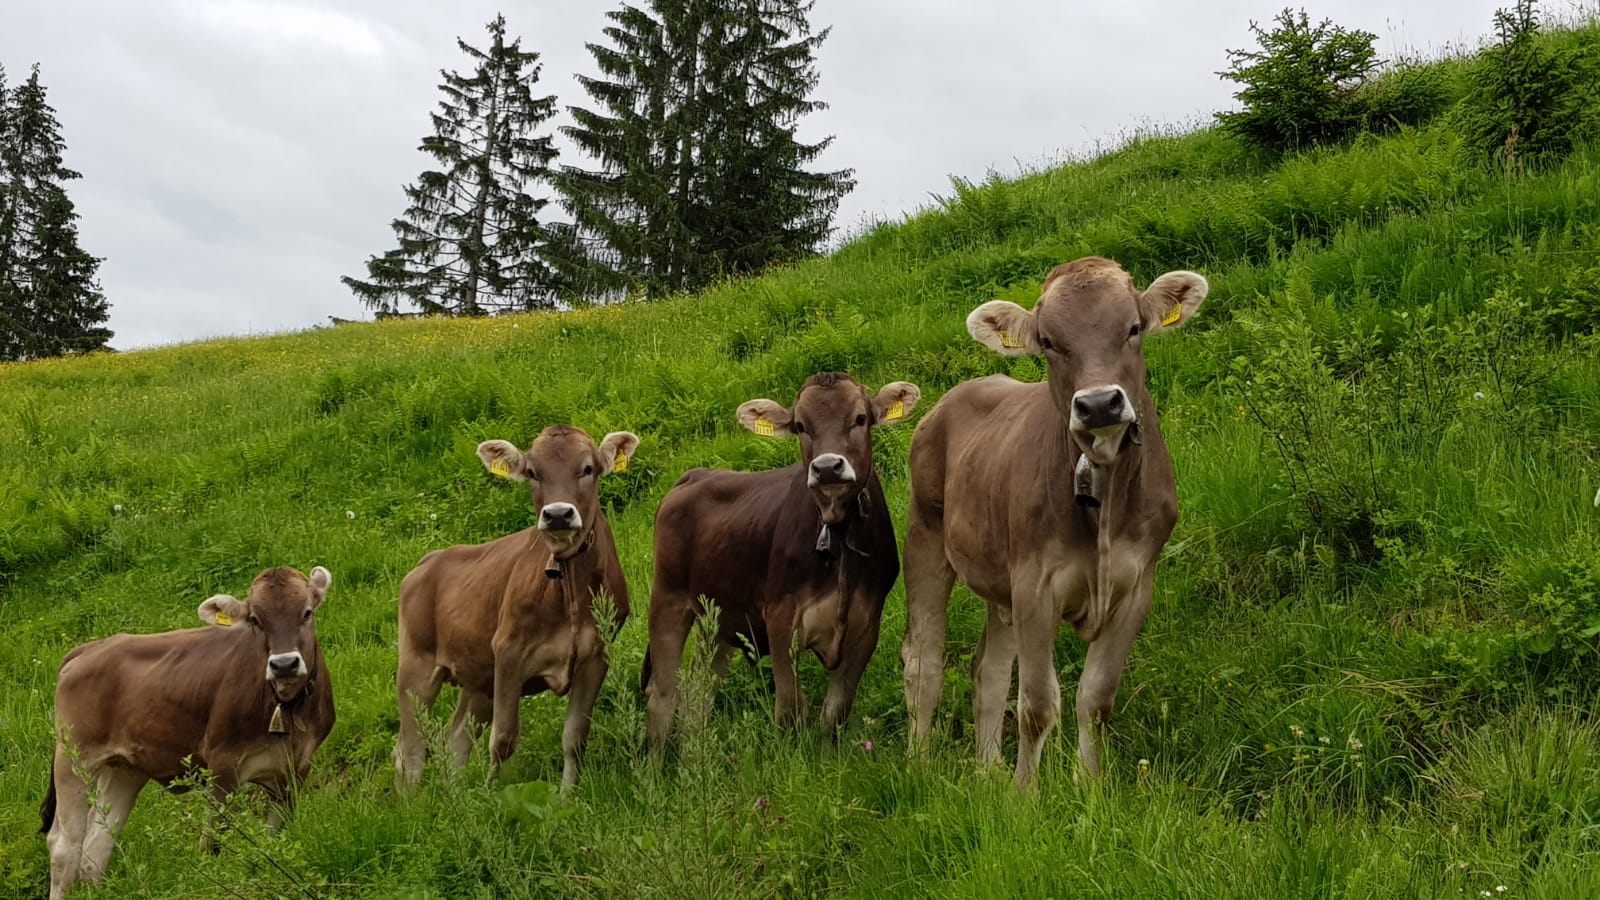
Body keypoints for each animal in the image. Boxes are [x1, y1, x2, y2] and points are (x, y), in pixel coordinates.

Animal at [41, 560, 334, 896]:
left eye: (307, 612)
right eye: (256, 620)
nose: (284, 664)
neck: (285, 708)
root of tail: (88, 648)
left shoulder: (296, 769)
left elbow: (272, 839)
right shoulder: (223, 767)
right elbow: (213, 843)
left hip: (125, 769)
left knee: (96, 845)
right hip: (74, 759)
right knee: (64, 846)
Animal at [393, 422, 636, 784]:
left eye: (587, 469)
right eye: (533, 472)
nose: (558, 514)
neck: (568, 591)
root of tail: (428, 561)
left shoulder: (596, 654)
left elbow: (575, 737)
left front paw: (567, 794)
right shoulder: (509, 653)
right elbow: (503, 741)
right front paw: (492, 792)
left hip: (478, 679)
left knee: (454, 741)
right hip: (416, 667)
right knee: (409, 751)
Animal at [640, 368, 921, 746]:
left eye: (860, 418)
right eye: (801, 425)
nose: (827, 467)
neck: (836, 539)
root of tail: (694, 474)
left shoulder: (866, 626)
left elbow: (834, 713)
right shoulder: (780, 618)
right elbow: (789, 709)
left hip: (718, 619)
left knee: (698, 694)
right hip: (667, 599)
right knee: (662, 696)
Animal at [902, 254, 1209, 784]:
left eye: (1133, 327)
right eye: (1048, 342)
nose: (1099, 403)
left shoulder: (1136, 587)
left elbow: (1096, 700)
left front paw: (1089, 786)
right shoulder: (1036, 586)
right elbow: (1038, 705)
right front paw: (1025, 793)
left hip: (1000, 584)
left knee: (988, 671)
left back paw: (987, 771)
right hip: (925, 535)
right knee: (925, 662)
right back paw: (919, 765)